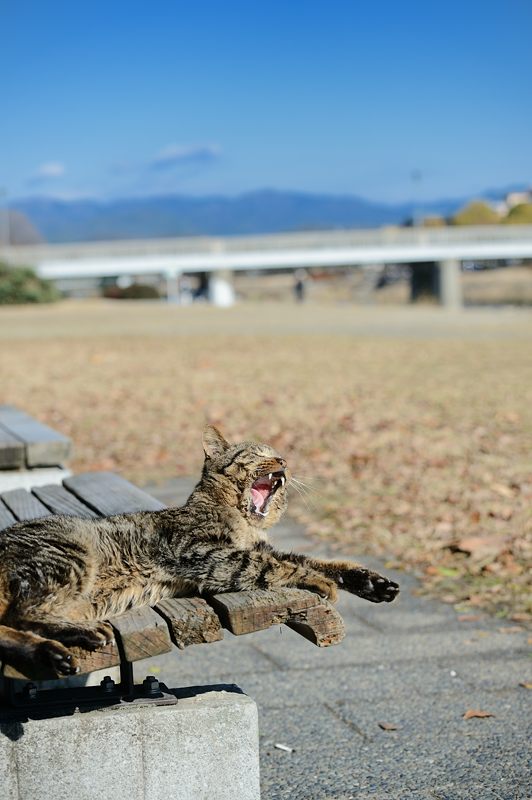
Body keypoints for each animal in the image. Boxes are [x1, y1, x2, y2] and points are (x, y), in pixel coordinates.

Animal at [0, 424, 400, 676]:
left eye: (279, 454)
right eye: (259, 453)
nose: (284, 461)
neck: (241, 521)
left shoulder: (261, 549)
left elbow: (318, 561)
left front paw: (371, 582)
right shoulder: (203, 554)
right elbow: (276, 566)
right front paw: (320, 583)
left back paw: (51, 652)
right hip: (68, 557)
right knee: (24, 614)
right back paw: (73, 639)